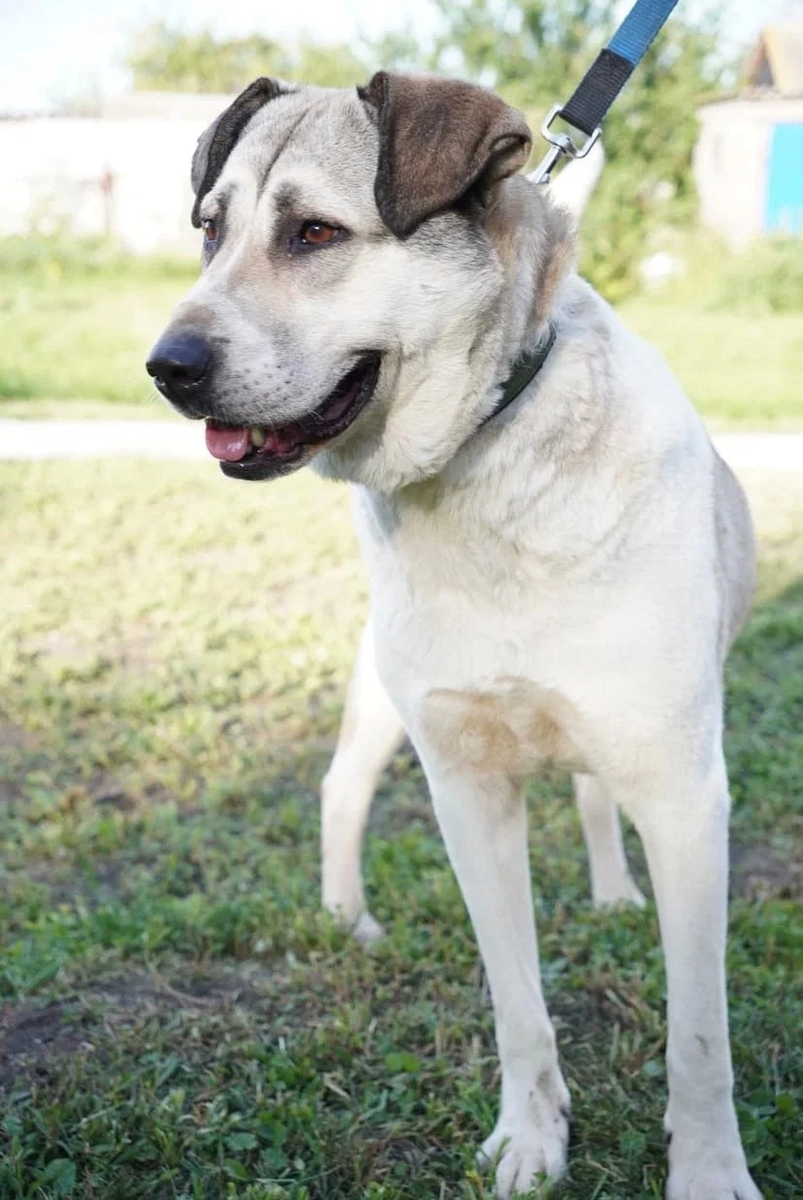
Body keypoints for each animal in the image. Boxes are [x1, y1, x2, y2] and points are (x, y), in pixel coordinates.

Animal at [147, 75, 763, 1200]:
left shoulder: (686, 795)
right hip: (380, 697)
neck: (488, 457)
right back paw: (346, 919)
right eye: (210, 230)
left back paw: (613, 893)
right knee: (341, 787)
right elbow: (517, 1006)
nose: (165, 368)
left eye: (312, 232)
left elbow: (699, 1038)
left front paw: (704, 1170)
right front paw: (529, 1139)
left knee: (592, 795)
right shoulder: (464, 786)